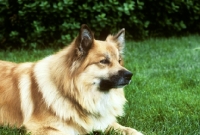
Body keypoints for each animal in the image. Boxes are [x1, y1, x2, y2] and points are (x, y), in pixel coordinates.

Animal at [0, 24, 143, 135]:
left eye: (119, 61)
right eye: (104, 61)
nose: (130, 75)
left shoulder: (103, 122)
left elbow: (126, 128)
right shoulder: (44, 128)